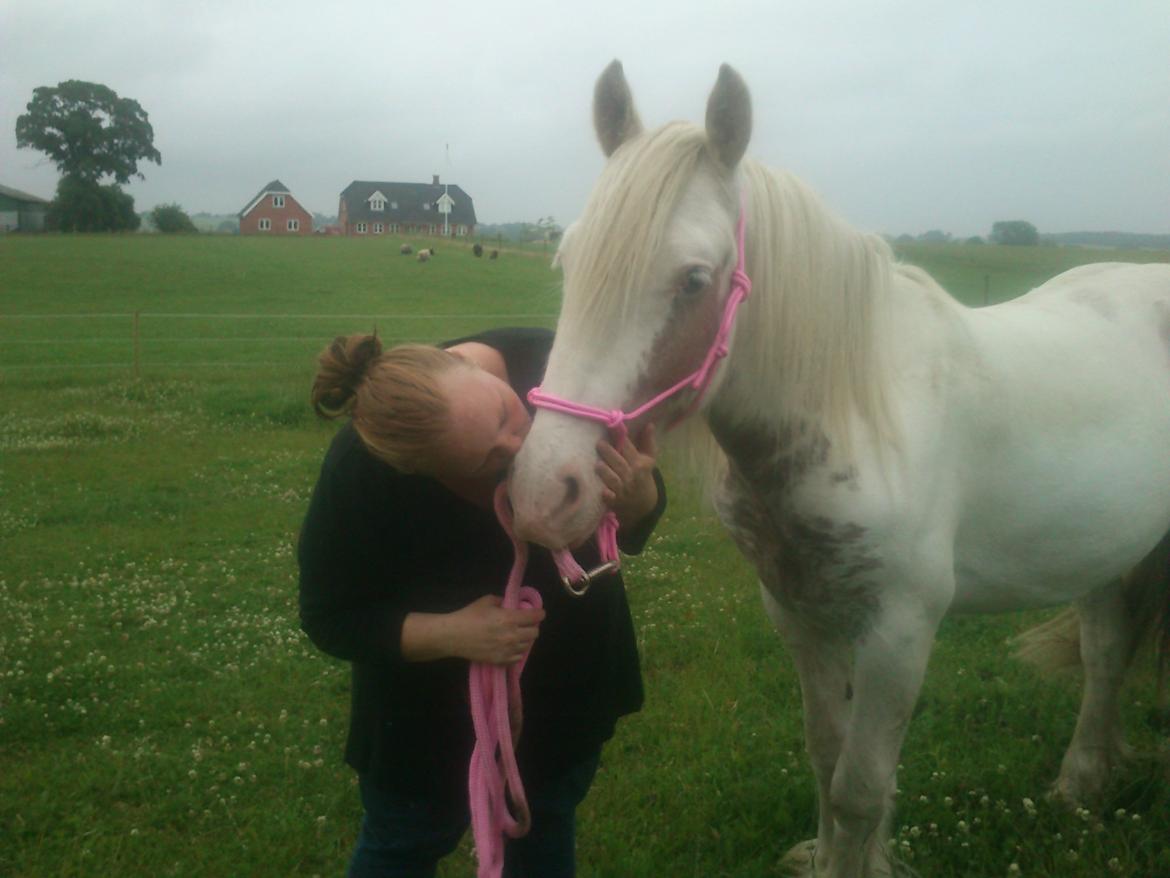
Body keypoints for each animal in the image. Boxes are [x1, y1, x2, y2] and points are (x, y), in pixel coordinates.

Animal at [510, 62, 1170, 878]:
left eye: (693, 279)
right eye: (568, 262)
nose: (543, 490)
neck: (858, 411)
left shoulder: (899, 632)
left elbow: (860, 786)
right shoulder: (800, 614)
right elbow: (826, 760)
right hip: (1105, 552)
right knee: (1106, 654)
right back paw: (1079, 785)